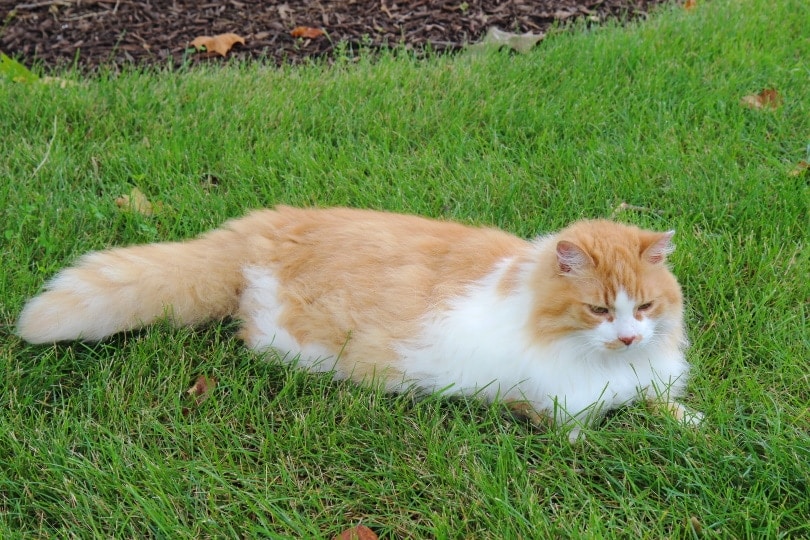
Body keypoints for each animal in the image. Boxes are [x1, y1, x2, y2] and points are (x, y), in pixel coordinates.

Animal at [19, 205, 700, 440]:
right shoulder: (548, 407)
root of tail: (267, 223)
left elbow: (662, 406)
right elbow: (594, 430)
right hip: (293, 342)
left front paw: (691, 421)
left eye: (644, 308)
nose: (629, 336)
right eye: (598, 310)